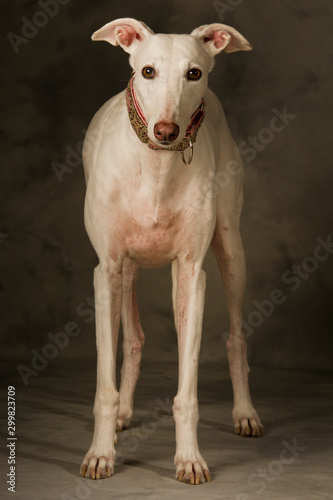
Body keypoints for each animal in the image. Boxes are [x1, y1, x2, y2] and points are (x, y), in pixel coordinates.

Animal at [80, 18, 262, 484]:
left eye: (193, 73)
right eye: (147, 72)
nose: (166, 132)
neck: (156, 168)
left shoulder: (192, 273)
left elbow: (187, 390)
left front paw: (189, 459)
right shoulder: (106, 269)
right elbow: (104, 381)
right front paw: (100, 454)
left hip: (231, 250)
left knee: (234, 339)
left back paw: (245, 412)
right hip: (127, 273)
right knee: (133, 340)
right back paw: (124, 412)